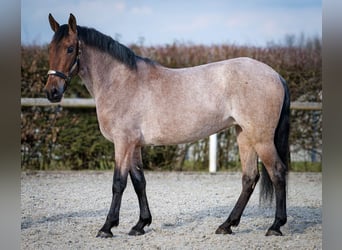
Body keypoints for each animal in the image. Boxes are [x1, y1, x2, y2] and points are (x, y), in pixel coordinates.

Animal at [44, 14, 292, 238]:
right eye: (50, 49)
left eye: (69, 49)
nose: (52, 92)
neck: (120, 82)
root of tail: (276, 75)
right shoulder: (134, 145)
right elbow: (139, 182)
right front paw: (140, 225)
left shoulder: (123, 143)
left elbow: (118, 183)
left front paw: (107, 227)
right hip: (244, 135)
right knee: (249, 178)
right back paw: (226, 225)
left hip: (261, 138)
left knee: (277, 172)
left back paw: (275, 226)